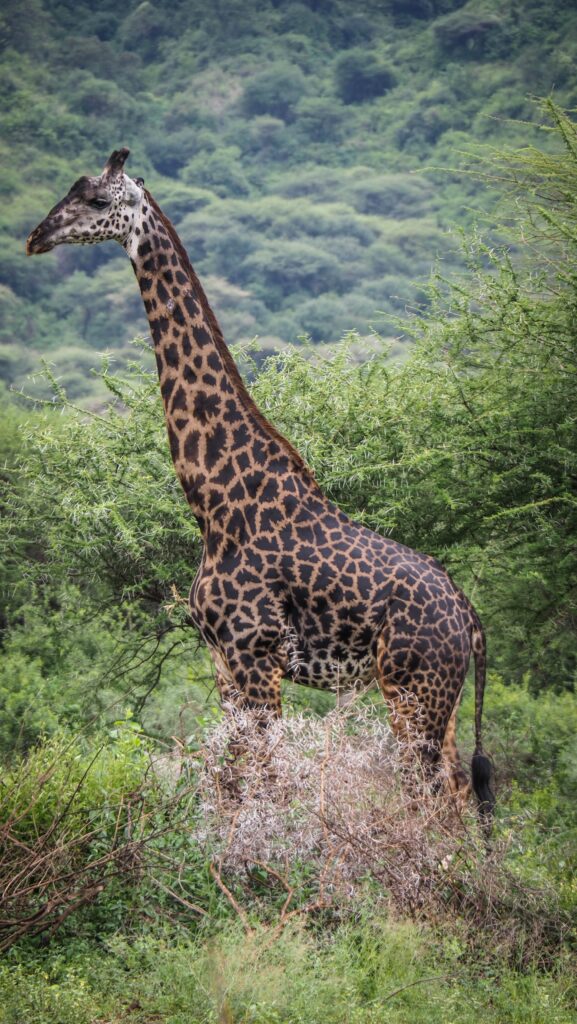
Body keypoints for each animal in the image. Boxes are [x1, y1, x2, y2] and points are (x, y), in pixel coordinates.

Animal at [27, 148, 493, 819]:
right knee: (459, 798)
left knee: (434, 801)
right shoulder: (223, 662)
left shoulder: (256, 656)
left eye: (94, 201)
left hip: (412, 691)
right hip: (441, 704)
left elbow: (262, 784)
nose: (36, 236)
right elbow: (230, 783)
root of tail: (470, 618)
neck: (214, 500)